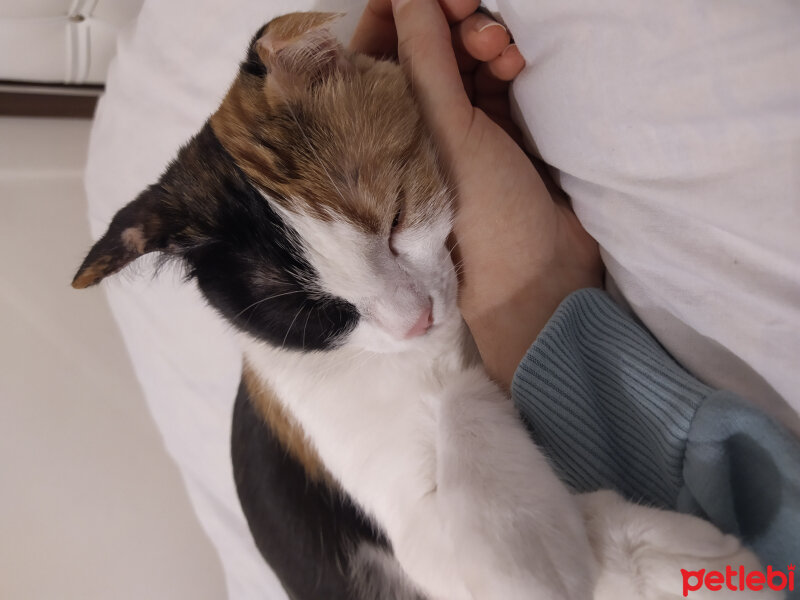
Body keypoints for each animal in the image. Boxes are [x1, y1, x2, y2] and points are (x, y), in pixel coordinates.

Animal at [72, 10, 772, 600]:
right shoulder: (403, 516)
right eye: (324, 315)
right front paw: (546, 551)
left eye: (398, 220)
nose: (415, 319)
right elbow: (467, 479)